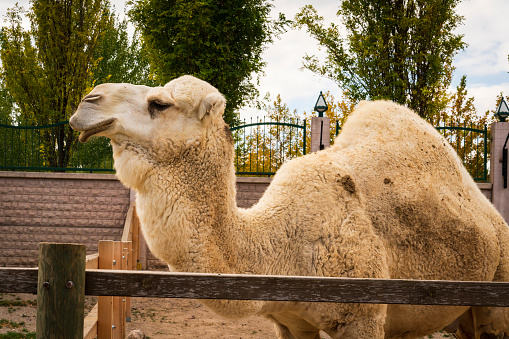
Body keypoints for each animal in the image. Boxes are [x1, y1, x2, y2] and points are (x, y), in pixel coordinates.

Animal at [68, 75, 508, 338]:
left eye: (159, 103)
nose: (87, 101)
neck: (281, 244)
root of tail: (493, 219)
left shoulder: (363, 316)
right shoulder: (290, 320)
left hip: (497, 292)